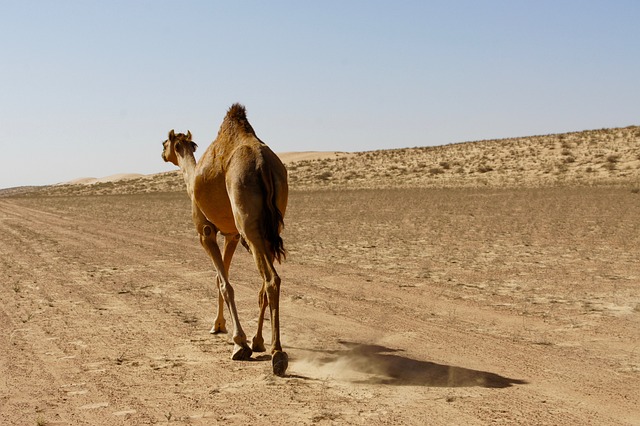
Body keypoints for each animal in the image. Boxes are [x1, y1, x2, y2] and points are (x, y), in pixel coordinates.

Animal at [161, 104, 288, 376]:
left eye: (164, 142)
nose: (161, 153)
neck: (191, 180)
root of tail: (262, 164)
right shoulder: (231, 235)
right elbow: (222, 278)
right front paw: (221, 327)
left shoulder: (205, 232)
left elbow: (225, 283)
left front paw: (239, 342)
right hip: (272, 224)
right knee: (263, 285)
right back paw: (261, 341)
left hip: (247, 219)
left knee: (271, 280)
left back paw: (277, 354)